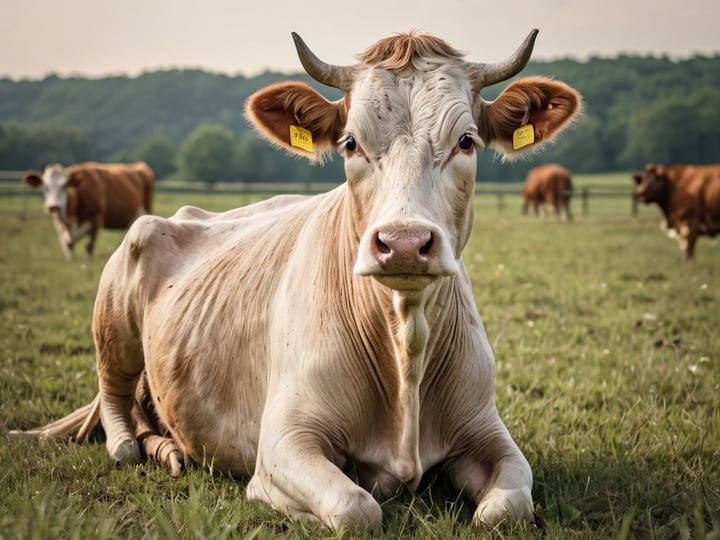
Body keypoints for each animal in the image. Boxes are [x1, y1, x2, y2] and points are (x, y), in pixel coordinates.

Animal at [22, 161, 155, 260]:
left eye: (64, 186)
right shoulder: (60, 222)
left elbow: (88, 246)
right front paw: (70, 261)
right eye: (45, 187)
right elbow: (67, 244)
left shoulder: (95, 219)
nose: (53, 206)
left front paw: (87, 264)